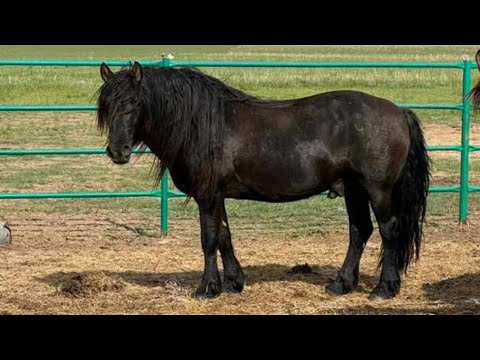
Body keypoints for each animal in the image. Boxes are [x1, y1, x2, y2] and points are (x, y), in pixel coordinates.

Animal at [95, 62, 430, 300]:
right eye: (108, 107)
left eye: (135, 104)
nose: (117, 151)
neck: (199, 125)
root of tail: (398, 111)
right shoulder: (217, 196)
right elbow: (224, 237)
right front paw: (233, 283)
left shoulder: (207, 195)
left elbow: (209, 239)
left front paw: (207, 288)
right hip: (354, 190)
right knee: (360, 231)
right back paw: (341, 284)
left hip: (377, 190)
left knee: (388, 231)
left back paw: (384, 289)